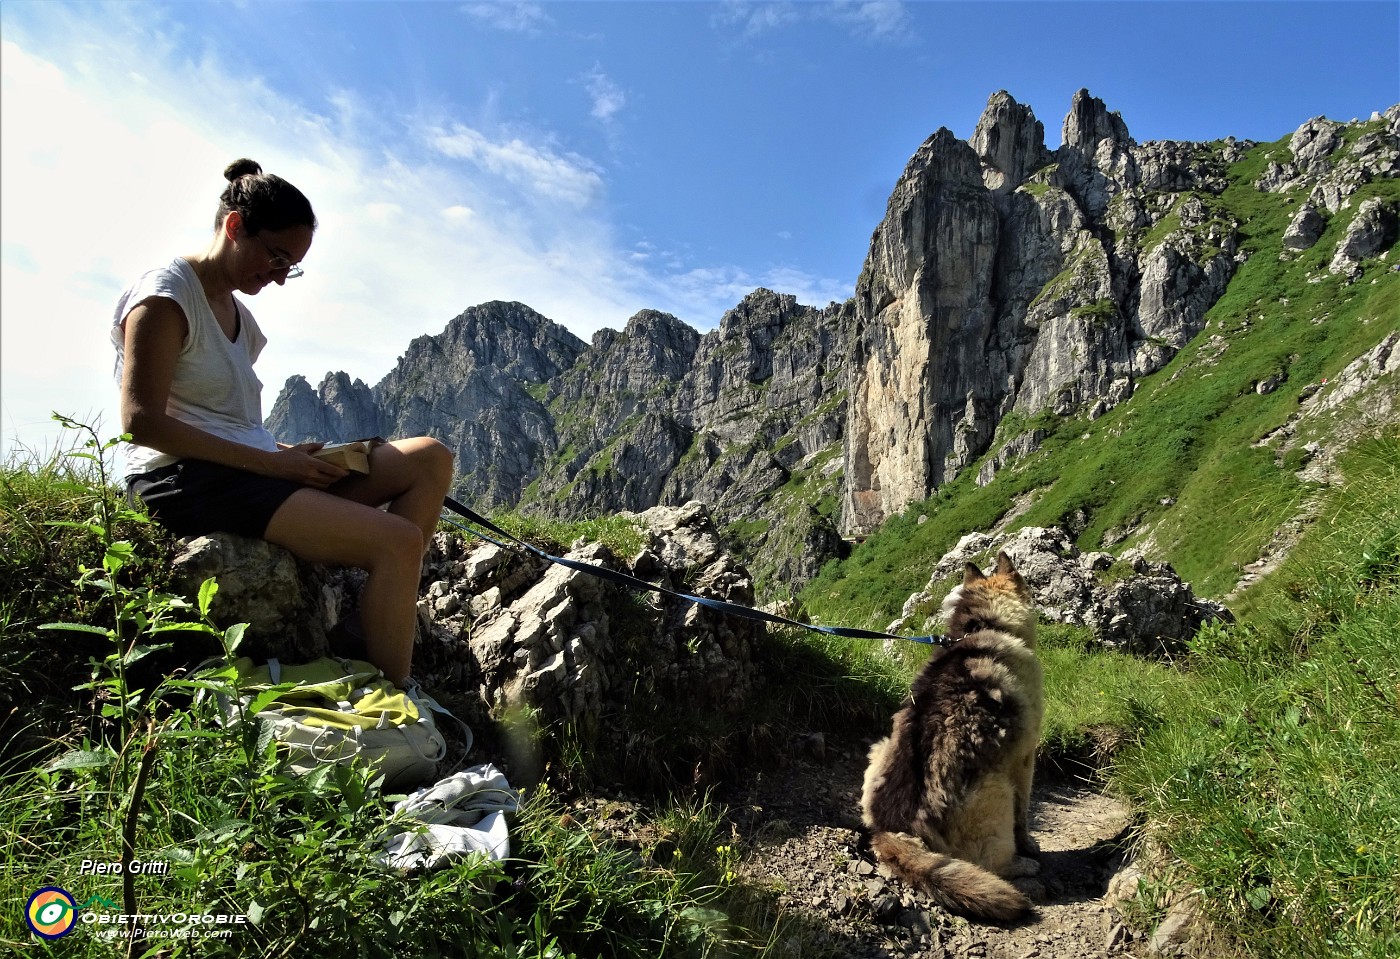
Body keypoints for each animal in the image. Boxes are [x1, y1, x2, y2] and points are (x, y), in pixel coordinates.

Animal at [856, 554, 1047, 918]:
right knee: (989, 861)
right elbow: (1024, 811)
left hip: (879, 749)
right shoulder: (1025, 757)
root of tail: (894, 831)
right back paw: (1021, 867)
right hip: (996, 790)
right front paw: (1029, 845)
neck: (986, 625)